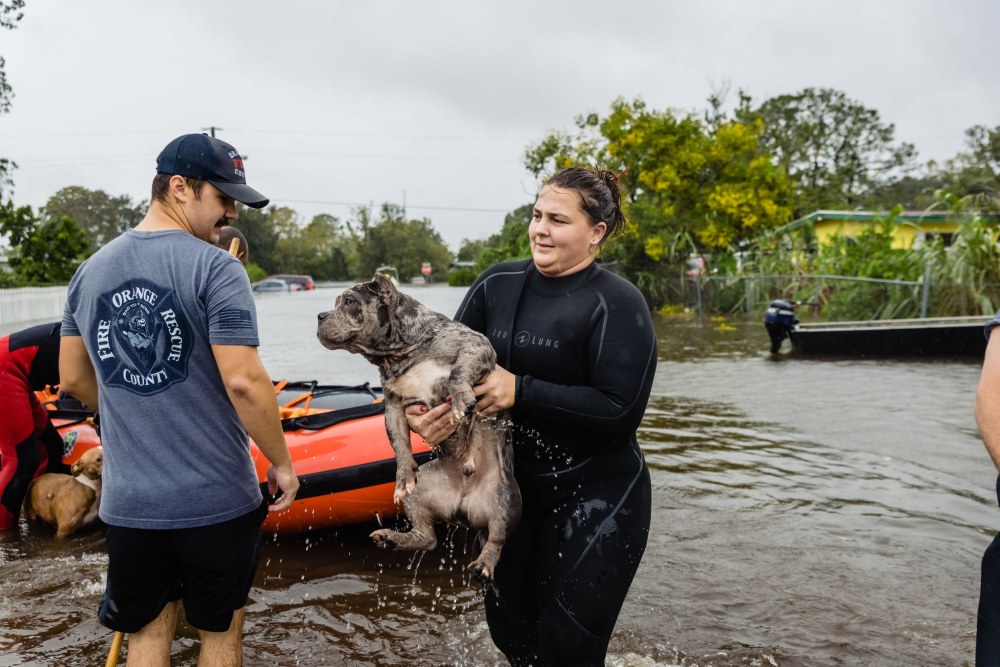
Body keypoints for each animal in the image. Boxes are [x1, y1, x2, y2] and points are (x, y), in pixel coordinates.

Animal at [314, 274, 520, 580]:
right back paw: (390, 538)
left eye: (349, 301)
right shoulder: (393, 407)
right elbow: (398, 442)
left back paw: (484, 563)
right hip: (421, 494)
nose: (320, 315)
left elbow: (458, 371)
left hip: (504, 500)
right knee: (428, 537)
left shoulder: (475, 345)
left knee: (496, 538)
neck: (400, 353)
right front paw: (403, 474)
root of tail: (463, 508)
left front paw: (461, 398)